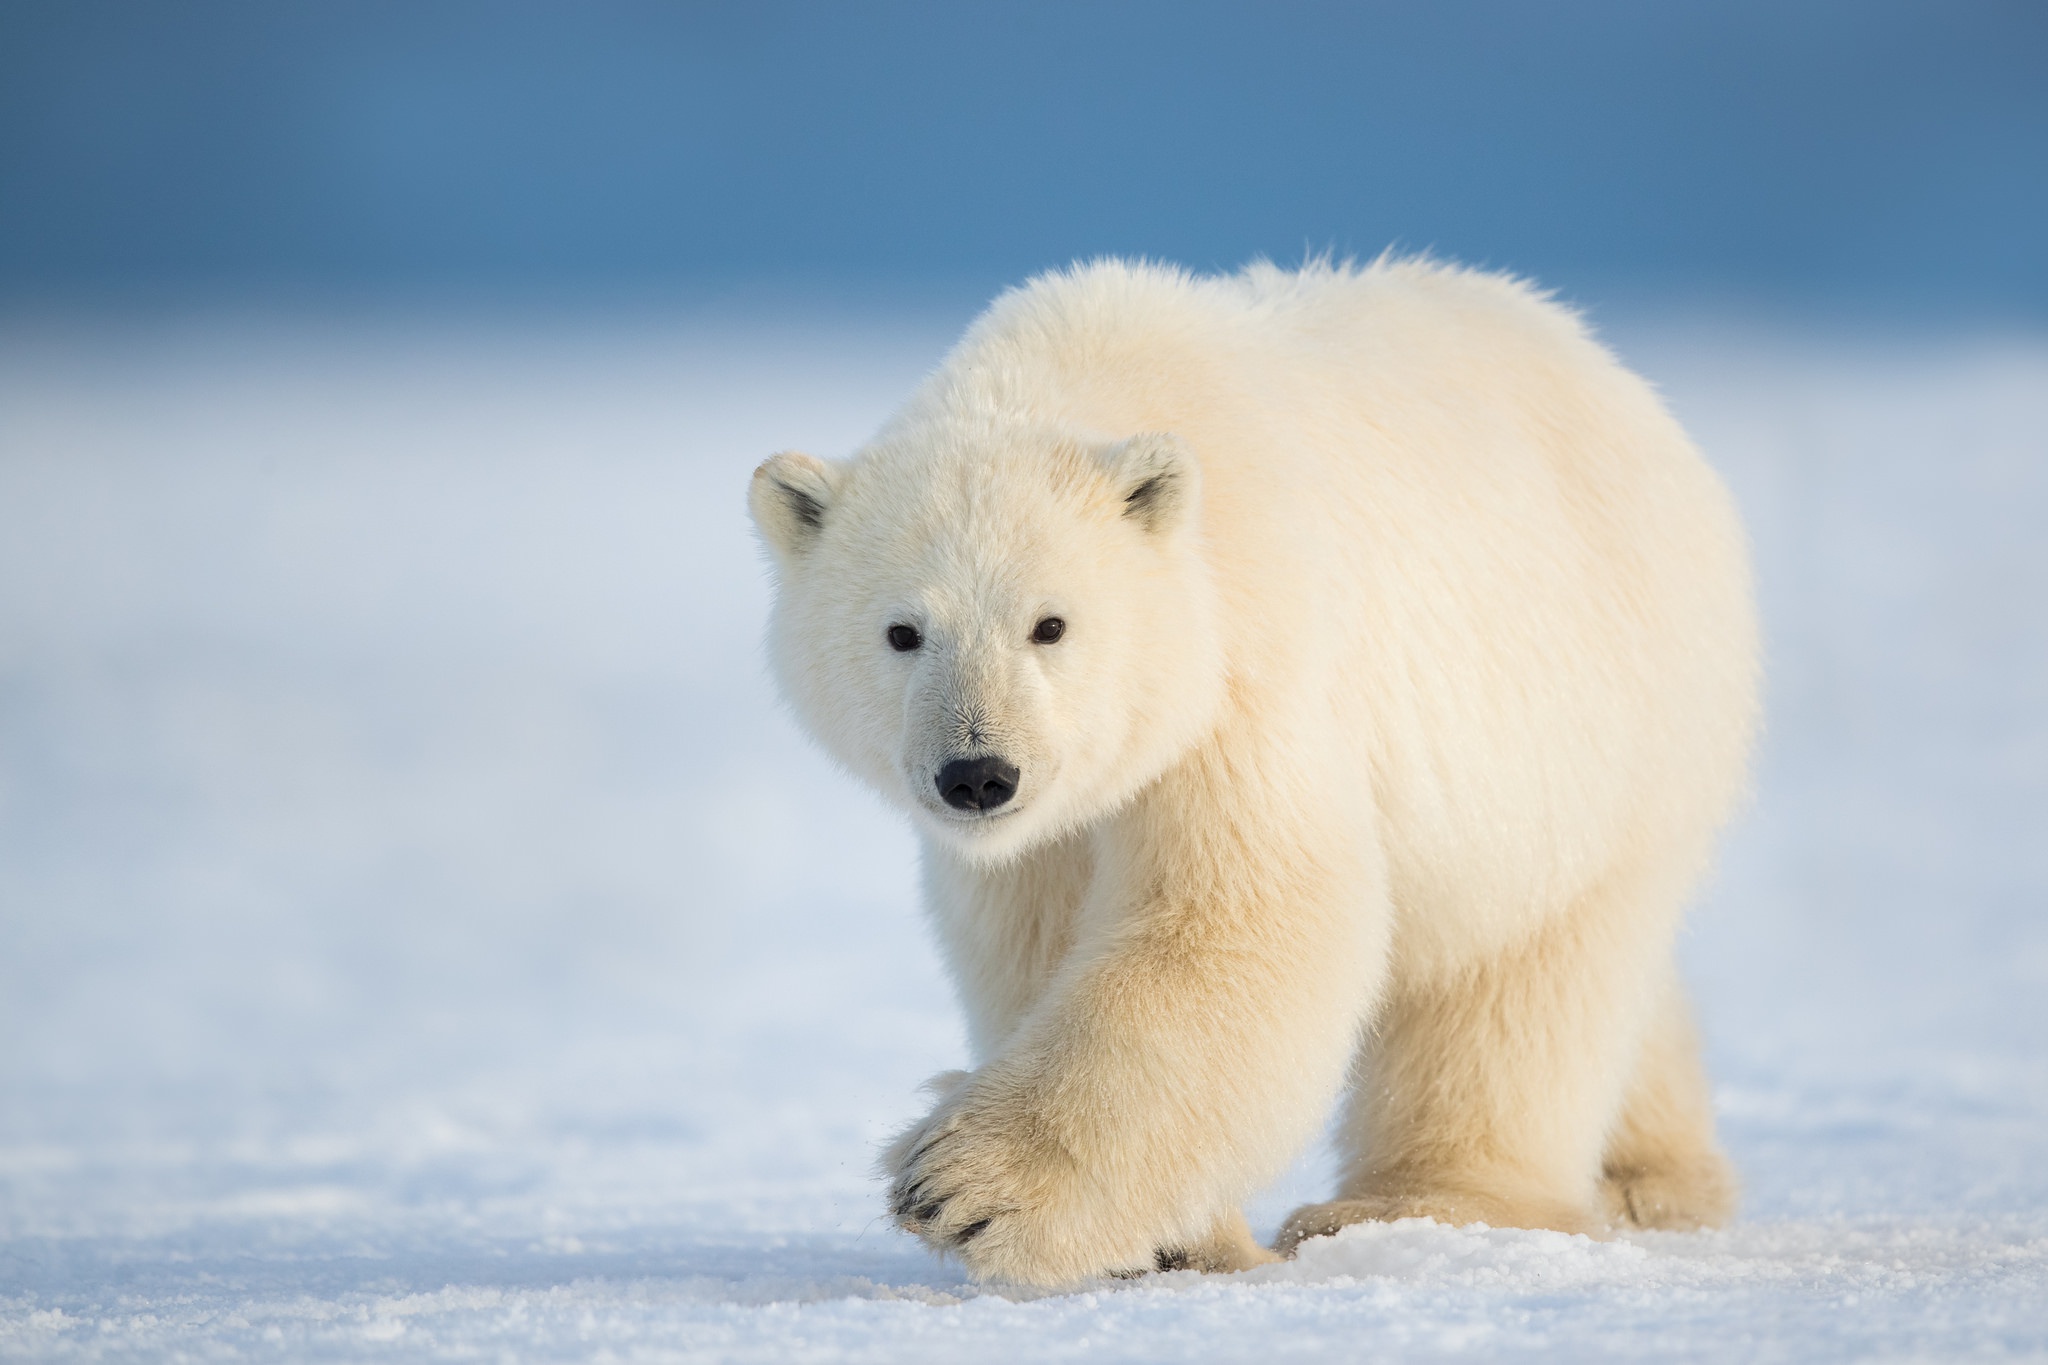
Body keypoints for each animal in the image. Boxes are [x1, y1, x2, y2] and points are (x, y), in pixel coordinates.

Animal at [746, 257, 1756, 1287]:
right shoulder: (1048, 830)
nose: (979, 773)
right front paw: (1172, 1237)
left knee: (1520, 975)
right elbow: (1035, 945)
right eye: (902, 631)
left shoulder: (1248, 670)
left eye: (1050, 623)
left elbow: (1239, 920)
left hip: (1594, 731)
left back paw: (1421, 1201)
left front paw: (965, 1187)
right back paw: (1652, 1175)